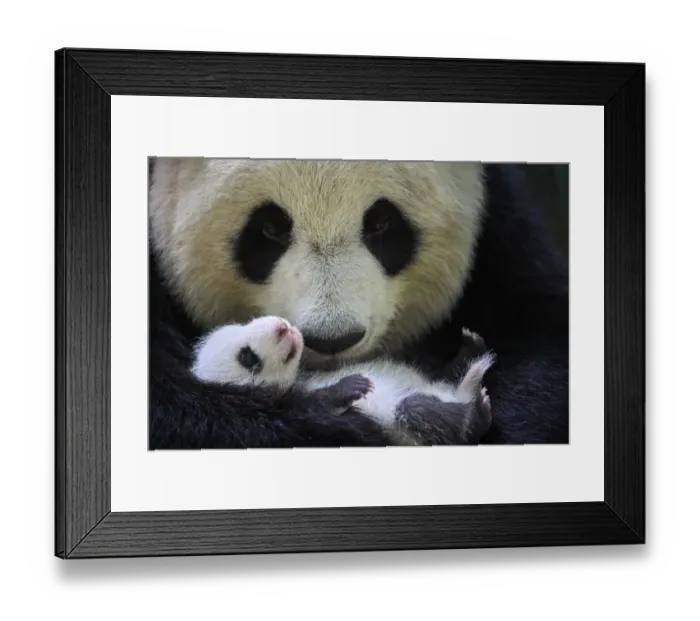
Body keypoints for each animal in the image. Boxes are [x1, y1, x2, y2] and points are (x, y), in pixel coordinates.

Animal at [148, 158, 569, 449]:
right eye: (268, 228)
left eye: (381, 223)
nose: (333, 339)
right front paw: (339, 423)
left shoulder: (499, 220)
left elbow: (537, 330)